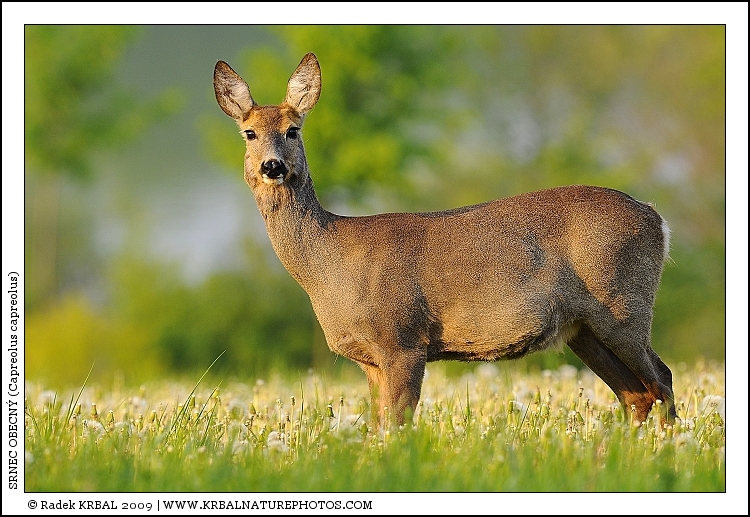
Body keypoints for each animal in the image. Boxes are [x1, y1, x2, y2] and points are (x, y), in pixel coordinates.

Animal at [213, 52, 677, 428]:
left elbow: (397, 425)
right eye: (249, 133)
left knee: (662, 379)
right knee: (637, 393)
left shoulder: (403, 339)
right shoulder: (370, 359)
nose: (273, 166)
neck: (327, 266)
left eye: (293, 130)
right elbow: (377, 426)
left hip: (623, 305)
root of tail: (656, 218)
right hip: (584, 328)